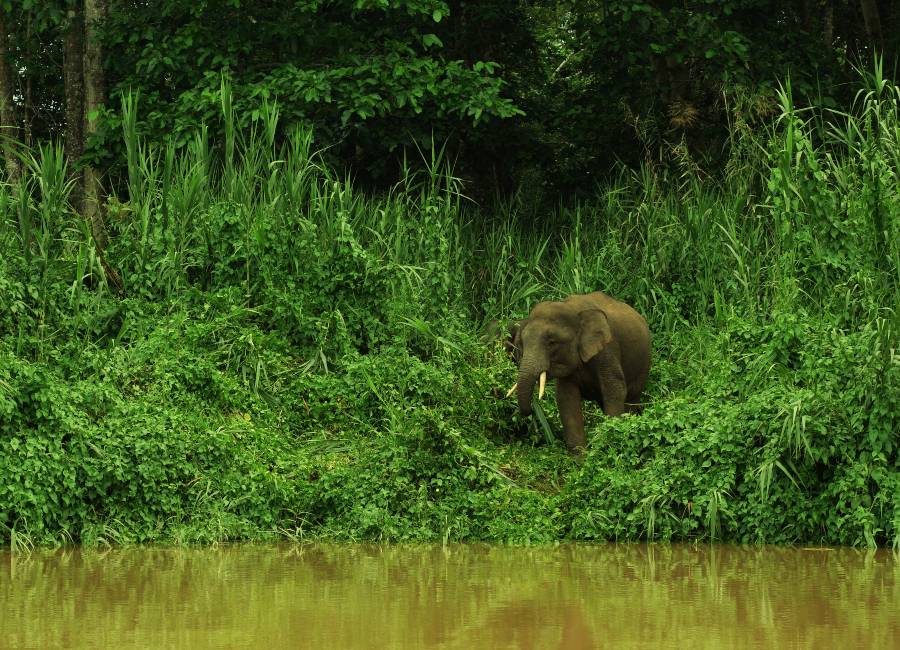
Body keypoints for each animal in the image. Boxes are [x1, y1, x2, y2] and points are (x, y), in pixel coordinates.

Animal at [506, 292, 648, 454]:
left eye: (552, 342)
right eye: (521, 343)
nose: (531, 411)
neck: (572, 308)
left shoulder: (607, 349)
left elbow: (614, 390)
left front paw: (610, 443)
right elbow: (566, 398)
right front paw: (580, 458)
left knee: (631, 398)